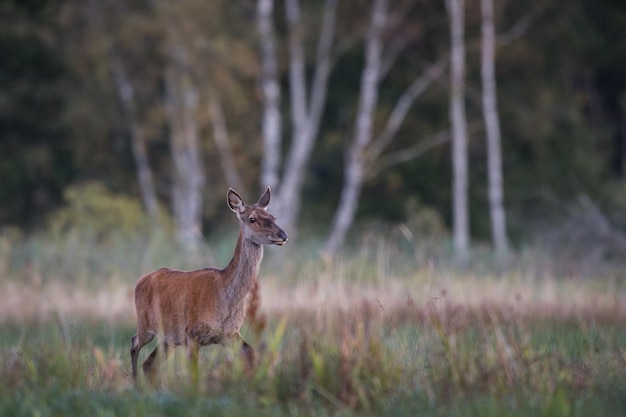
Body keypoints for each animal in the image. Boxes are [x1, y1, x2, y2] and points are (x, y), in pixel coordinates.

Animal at [133, 186, 288, 384]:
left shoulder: (230, 333)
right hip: (145, 325)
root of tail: (141, 280)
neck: (225, 299)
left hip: (170, 337)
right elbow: (194, 374)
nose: (283, 235)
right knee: (134, 344)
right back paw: (134, 383)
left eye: (273, 217)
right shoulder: (193, 332)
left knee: (149, 364)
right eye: (252, 218)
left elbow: (252, 354)